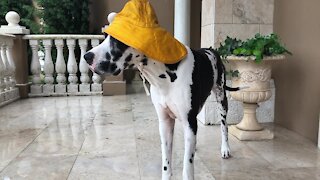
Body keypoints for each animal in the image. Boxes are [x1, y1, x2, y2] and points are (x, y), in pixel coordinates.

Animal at [83, 34, 238, 179]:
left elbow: (187, 168)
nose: (86, 56)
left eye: (116, 40)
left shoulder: (189, 121)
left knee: (224, 126)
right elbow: (166, 163)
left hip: (221, 99)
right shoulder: (165, 123)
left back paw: (225, 149)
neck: (164, 77)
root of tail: (211, 50)